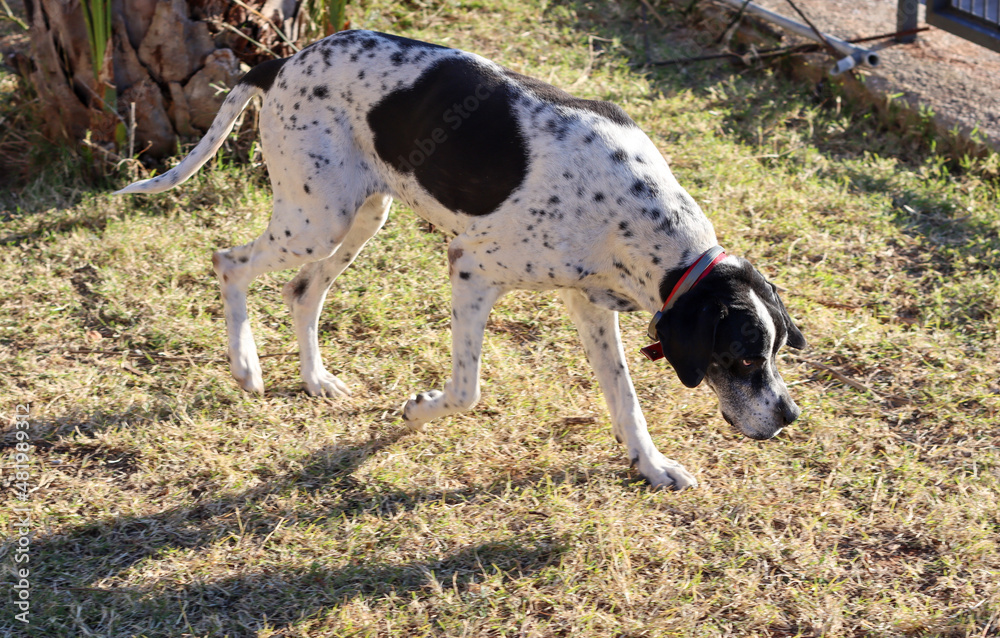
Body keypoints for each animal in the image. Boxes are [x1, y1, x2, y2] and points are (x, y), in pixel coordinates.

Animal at [115, 28, 804, 490]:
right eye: (743, 357)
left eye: (773, 352)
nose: (789, 416)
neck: (636, 213)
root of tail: (283, 61)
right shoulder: (471, 268)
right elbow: (467, 391)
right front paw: (420, 409)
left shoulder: (589, 305)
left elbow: (625, 401)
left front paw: (651, 466)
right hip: (314, 221)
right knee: (229, 262)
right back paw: (246, 368)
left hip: (360, 216)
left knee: (302, 291)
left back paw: (315, 379)